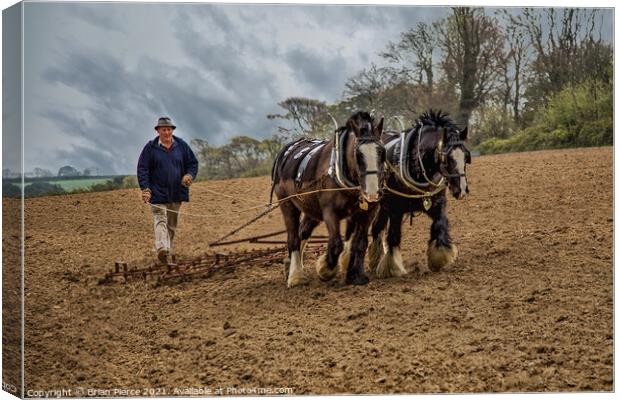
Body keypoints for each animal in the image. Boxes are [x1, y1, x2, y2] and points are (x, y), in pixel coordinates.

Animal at [270, 111, 386, 288]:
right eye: (358, 155)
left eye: (382, 153)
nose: (372, 193)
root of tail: (285, 152)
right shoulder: (330, 212)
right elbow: (336, 244)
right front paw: (325, 268)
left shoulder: (367, 212)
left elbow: (360, 243)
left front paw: (356, 275)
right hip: (287, 204)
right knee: (293, 237)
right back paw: (296, 276)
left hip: (311, 209)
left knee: (303, 232)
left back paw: (290, 267)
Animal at [348, 109, 470, 278]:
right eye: (448, 158)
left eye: (465, 156)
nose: (462, 190)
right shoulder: (395, 210)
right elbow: (394, 235)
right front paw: (392, 266)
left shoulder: (437, 204)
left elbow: (440, 224)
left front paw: (439, 256)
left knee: (377, 228)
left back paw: (375, 259)